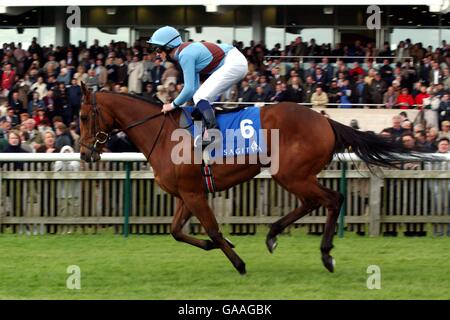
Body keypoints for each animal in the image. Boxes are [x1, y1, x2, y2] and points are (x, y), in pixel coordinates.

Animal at [78, 84, 418, 276]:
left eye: (82, 117)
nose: (84, 154)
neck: (163, 135)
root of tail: (326, 120)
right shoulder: (187, 193)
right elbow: (176, 232)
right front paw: (222, 246)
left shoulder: (194, 193)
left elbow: (213, 230)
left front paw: (239, 264)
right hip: (296, 174)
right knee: (313, 202)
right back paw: (274, 234)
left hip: (290, 173)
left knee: (332, 199)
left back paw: (325, 254)